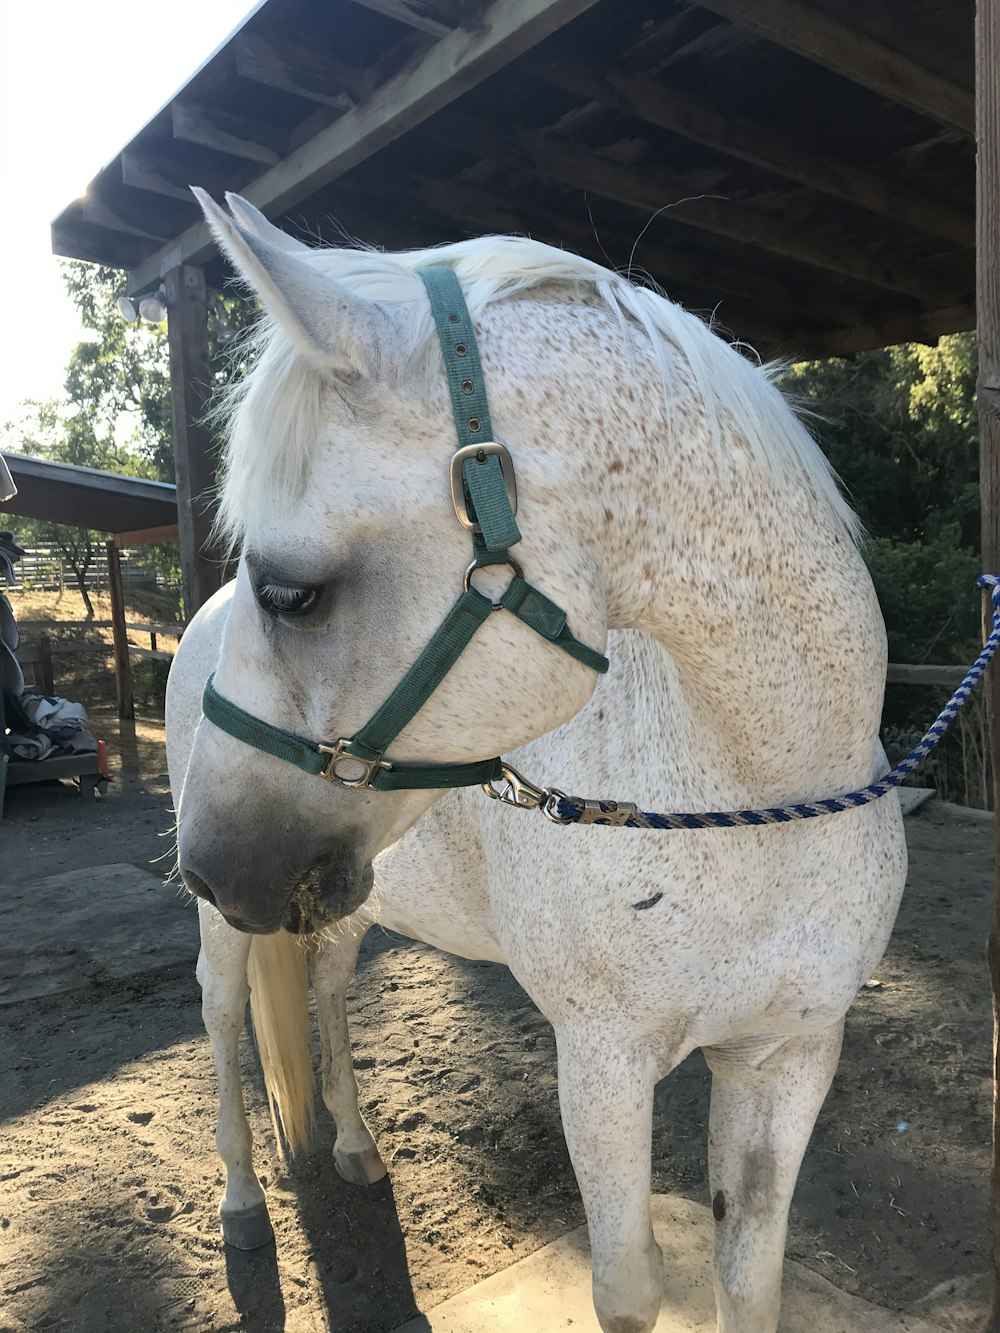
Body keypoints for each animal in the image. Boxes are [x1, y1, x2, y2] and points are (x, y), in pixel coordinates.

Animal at [164, 194, 906, 1333]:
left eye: (294, 593)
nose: (211, 857)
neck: (760, 805)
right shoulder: (601, 1067)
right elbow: (629, 1292)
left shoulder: (787, 1057)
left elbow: (751, 1279)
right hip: (234, 931)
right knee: (217, 1011)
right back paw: (243, 1204)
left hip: (346, 898)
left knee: (327, 983)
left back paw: (355, 1146)